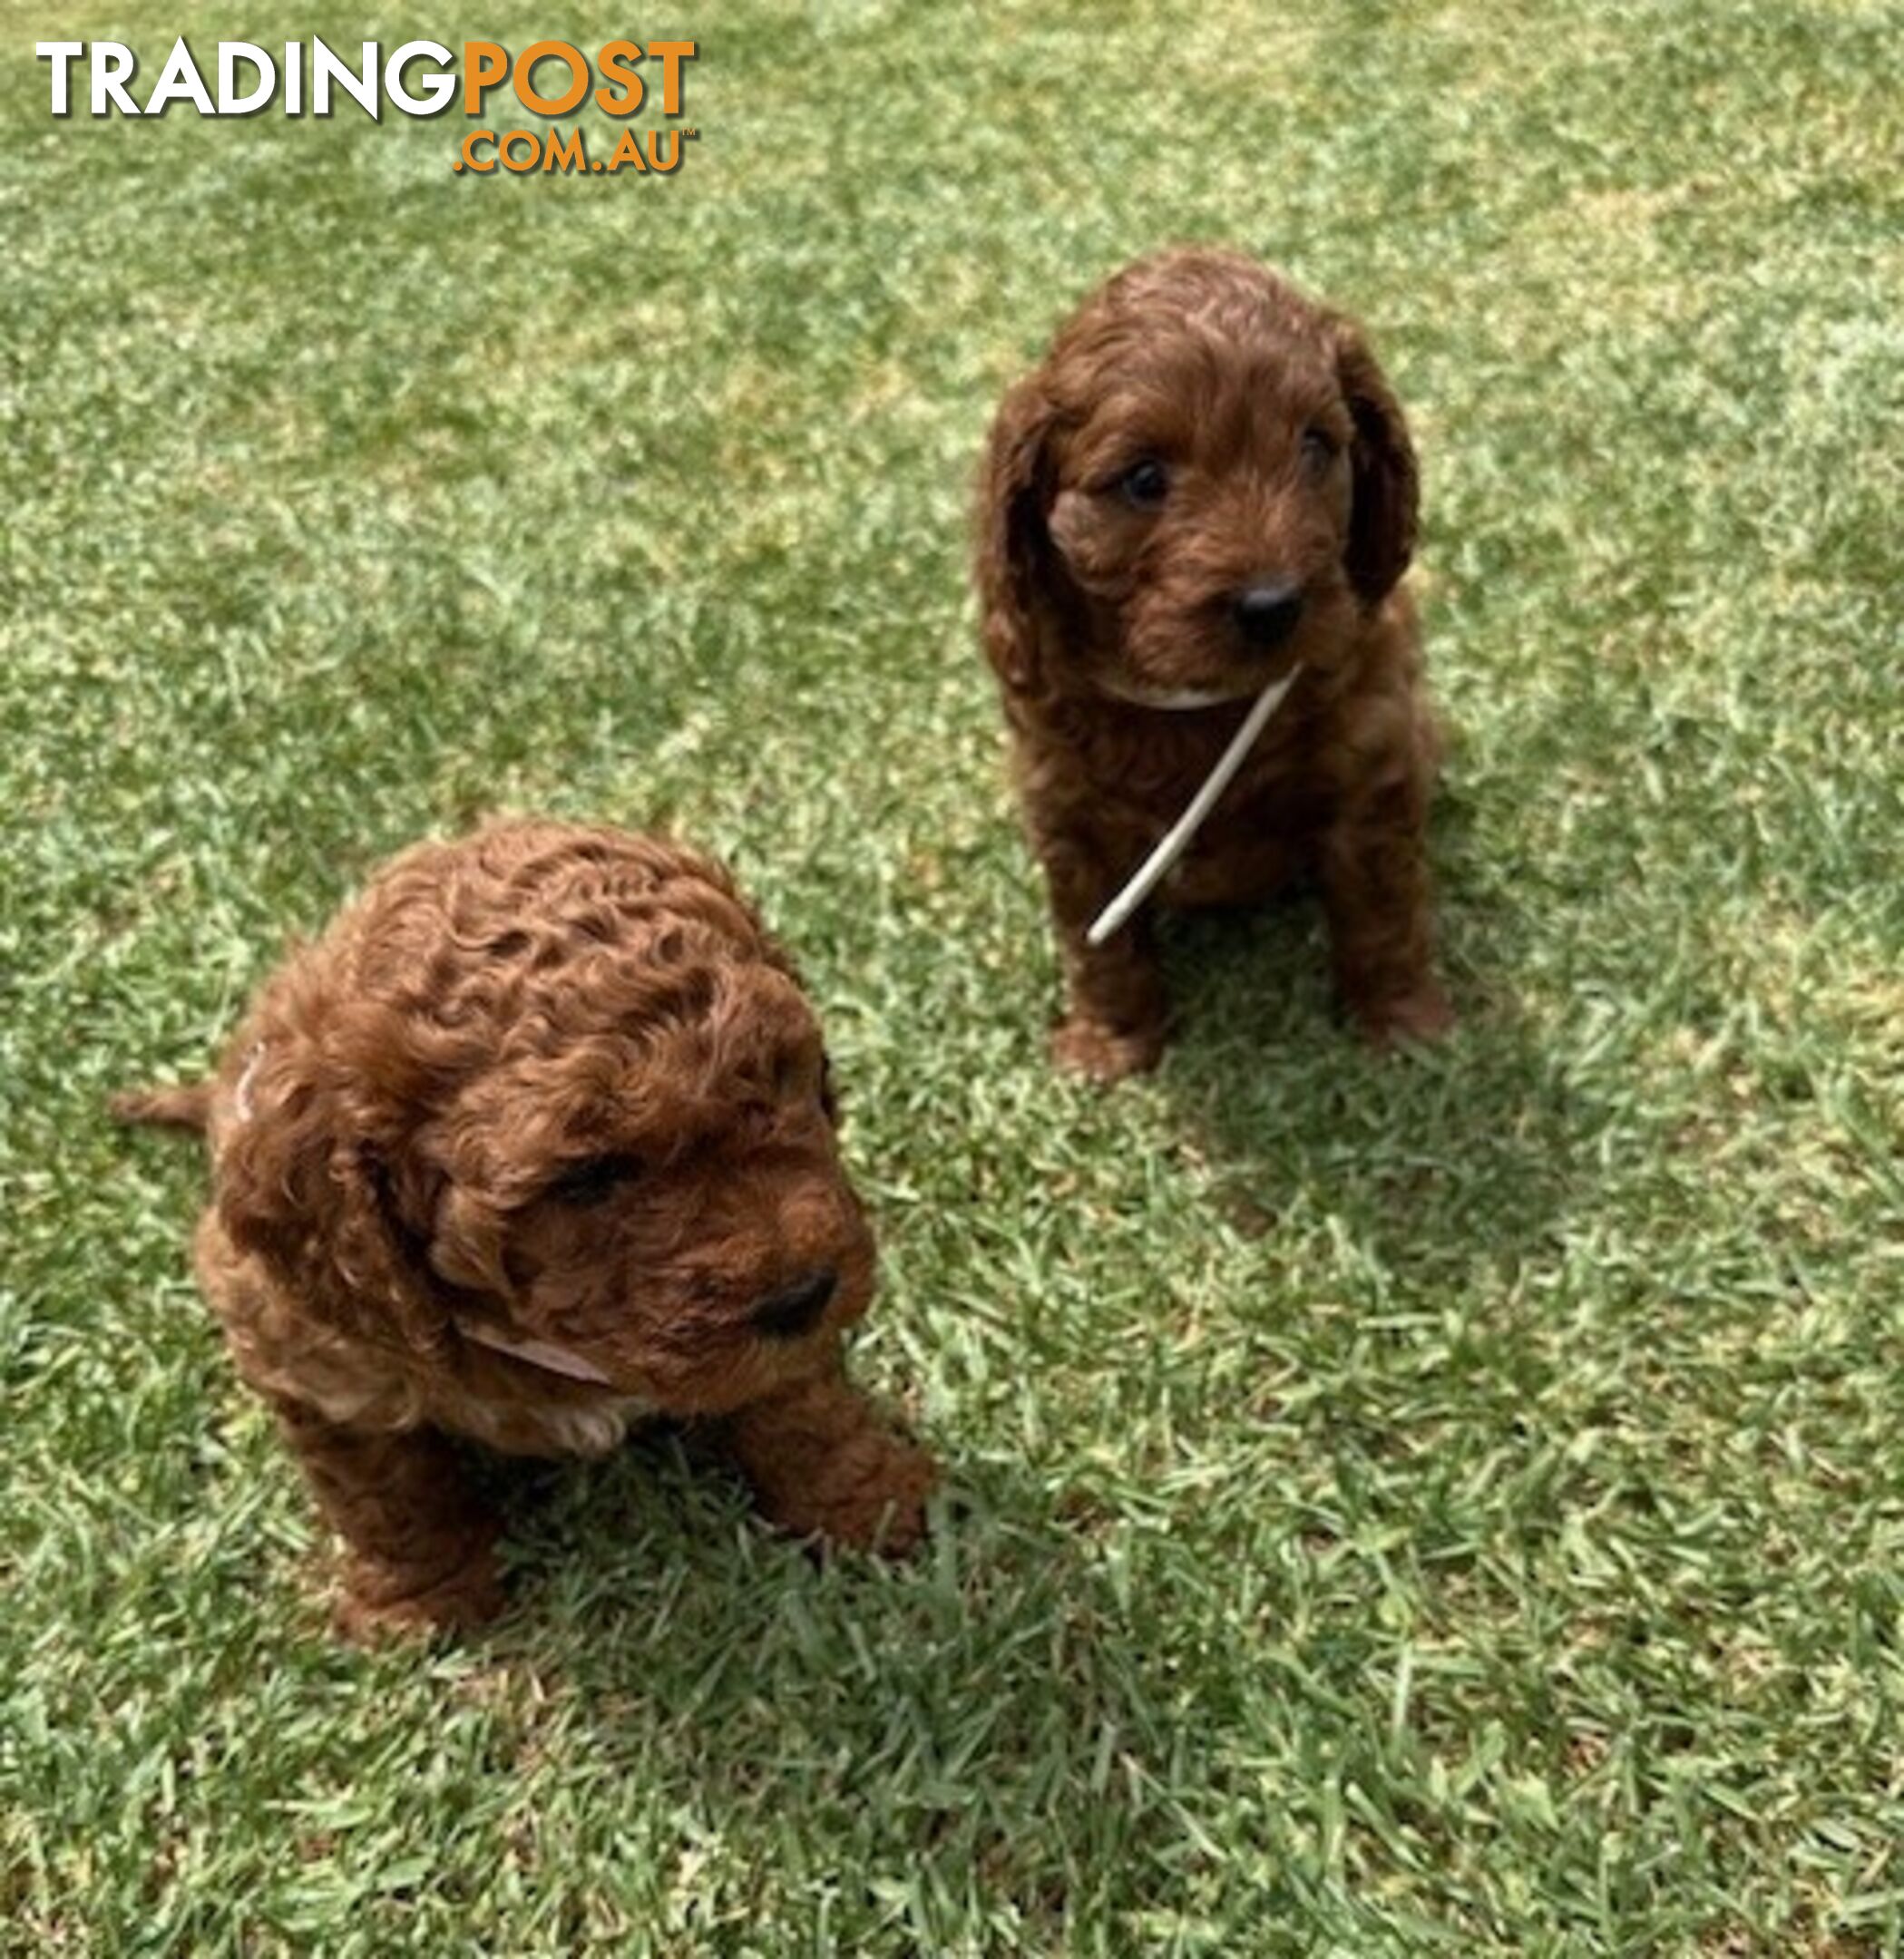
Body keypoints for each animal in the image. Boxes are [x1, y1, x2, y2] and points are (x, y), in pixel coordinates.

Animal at [114, 818, 932, 1645]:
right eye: (587, 1177)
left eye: (795, 1077)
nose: (804, 1294)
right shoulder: (310, 1356)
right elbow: (387, 1493)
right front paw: (421, 1603)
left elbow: (804, 1404)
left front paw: (871, 1504)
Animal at [975, 247, 1450, 1088]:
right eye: (1143, 480)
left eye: (1315, 447)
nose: (1271, 605)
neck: (1199, 704)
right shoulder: (1063, 804)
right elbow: (1096, 944)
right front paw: (1110, 1043)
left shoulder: (1372, 764)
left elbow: (1383, 906)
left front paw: (1402, 1023)